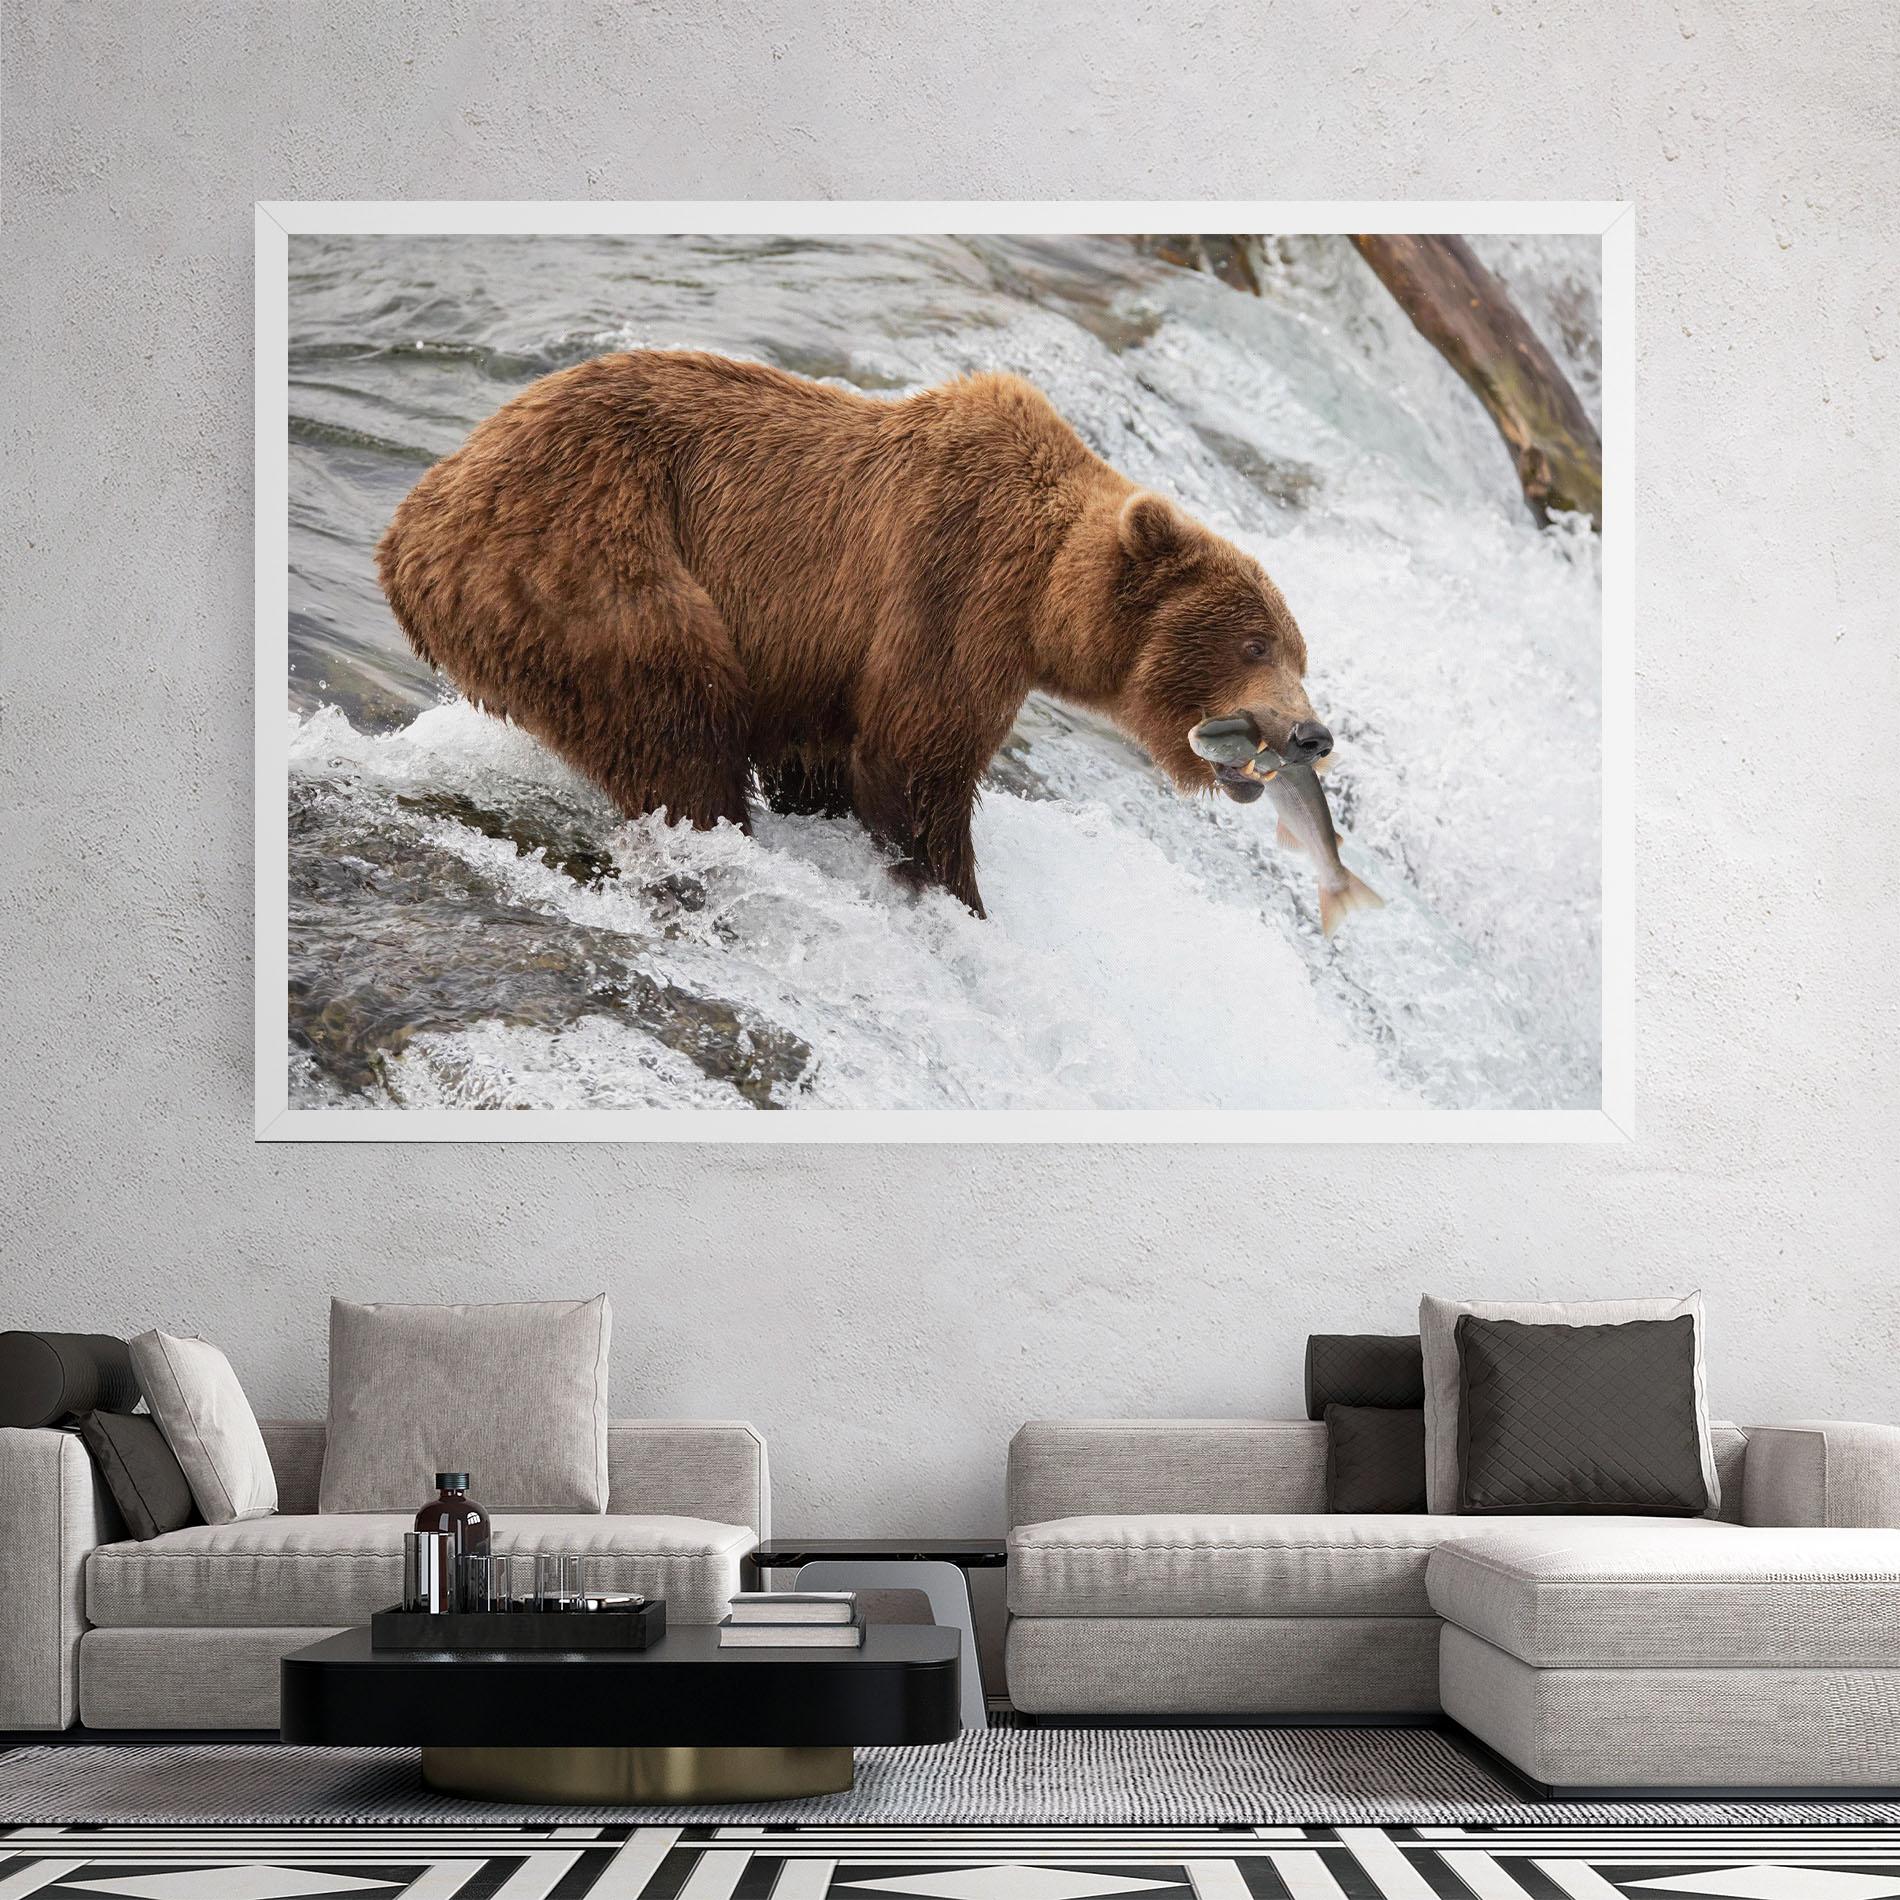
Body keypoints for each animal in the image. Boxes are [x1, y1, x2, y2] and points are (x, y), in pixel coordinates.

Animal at [376, 350, 1333, 918]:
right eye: (1254, 644)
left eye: (1299, 652)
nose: (1311, 735)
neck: (1042, 598)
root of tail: (411, 523)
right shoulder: (950, 589)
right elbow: (915, 763)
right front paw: (955, 896)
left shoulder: (821, 664)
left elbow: (827, 760)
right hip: (589, 562)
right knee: (675, 721)